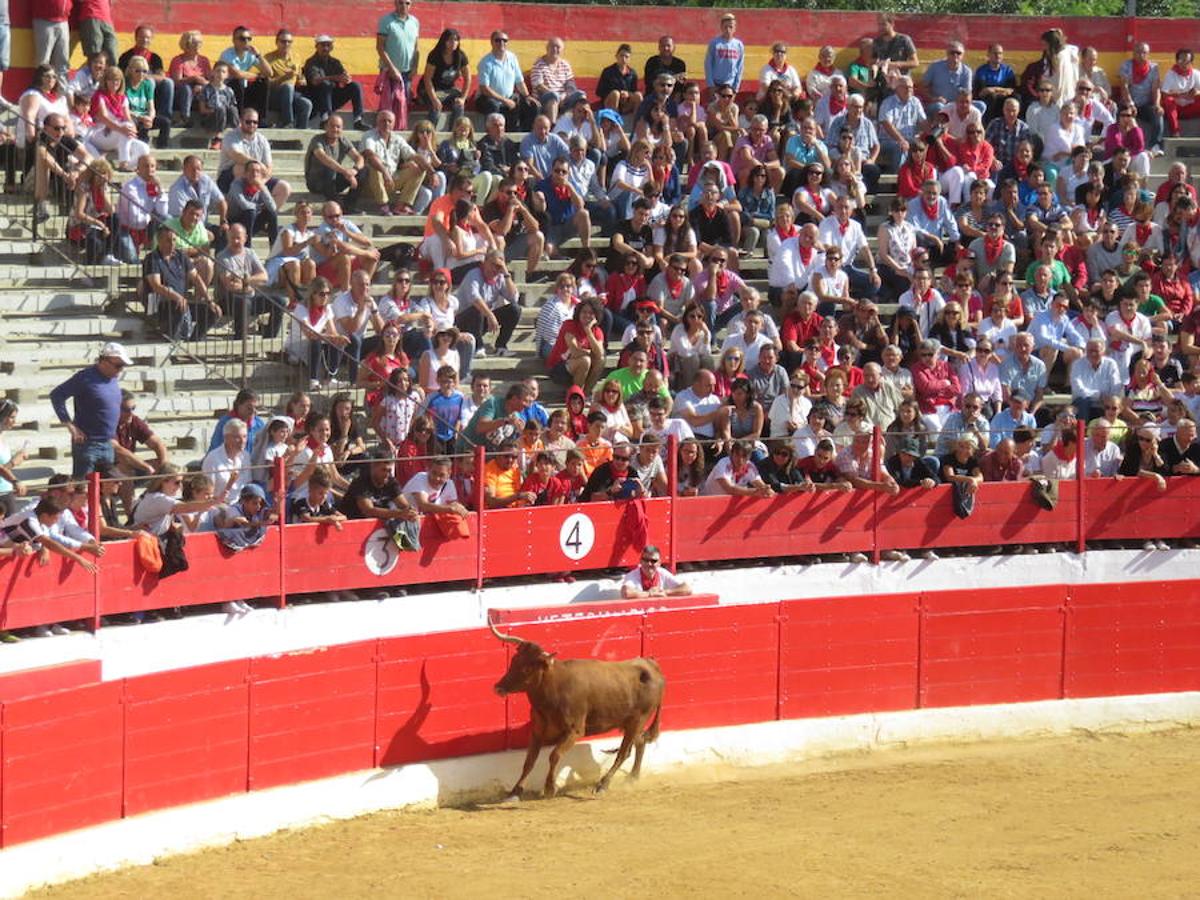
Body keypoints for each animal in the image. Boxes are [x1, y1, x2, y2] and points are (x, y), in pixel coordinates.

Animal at [492, 624, 672, 801]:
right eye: (514, 660)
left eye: (528, 668)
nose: (498, 687)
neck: (553, 689)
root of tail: (651, 665)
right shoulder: (537, 731)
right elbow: (529, 761)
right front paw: (515, 792)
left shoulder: (575, 731)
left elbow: (554, 755)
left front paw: (550, 788)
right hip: (631, 723)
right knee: (640, 742)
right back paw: (632, 778)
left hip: (638, 720)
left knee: (623, 753)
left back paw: (602, 785)